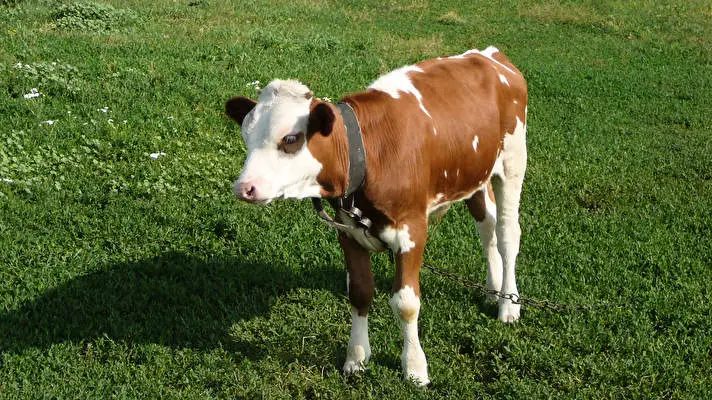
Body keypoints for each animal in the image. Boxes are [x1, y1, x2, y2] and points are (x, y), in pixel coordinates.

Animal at [225, 46, 527, 386]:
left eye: (290, 139)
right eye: (246, 136)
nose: (244, 188)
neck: (368, 154)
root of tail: (488, 54)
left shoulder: (412, 230)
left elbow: (406, 304)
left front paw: (415, 368)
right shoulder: (348, 232)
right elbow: (359, 292)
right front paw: (356, 358)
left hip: (513, 162)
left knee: (507, 233)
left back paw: (508, 304)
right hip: (475, 174)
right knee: (486, 226)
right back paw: (492, 290)